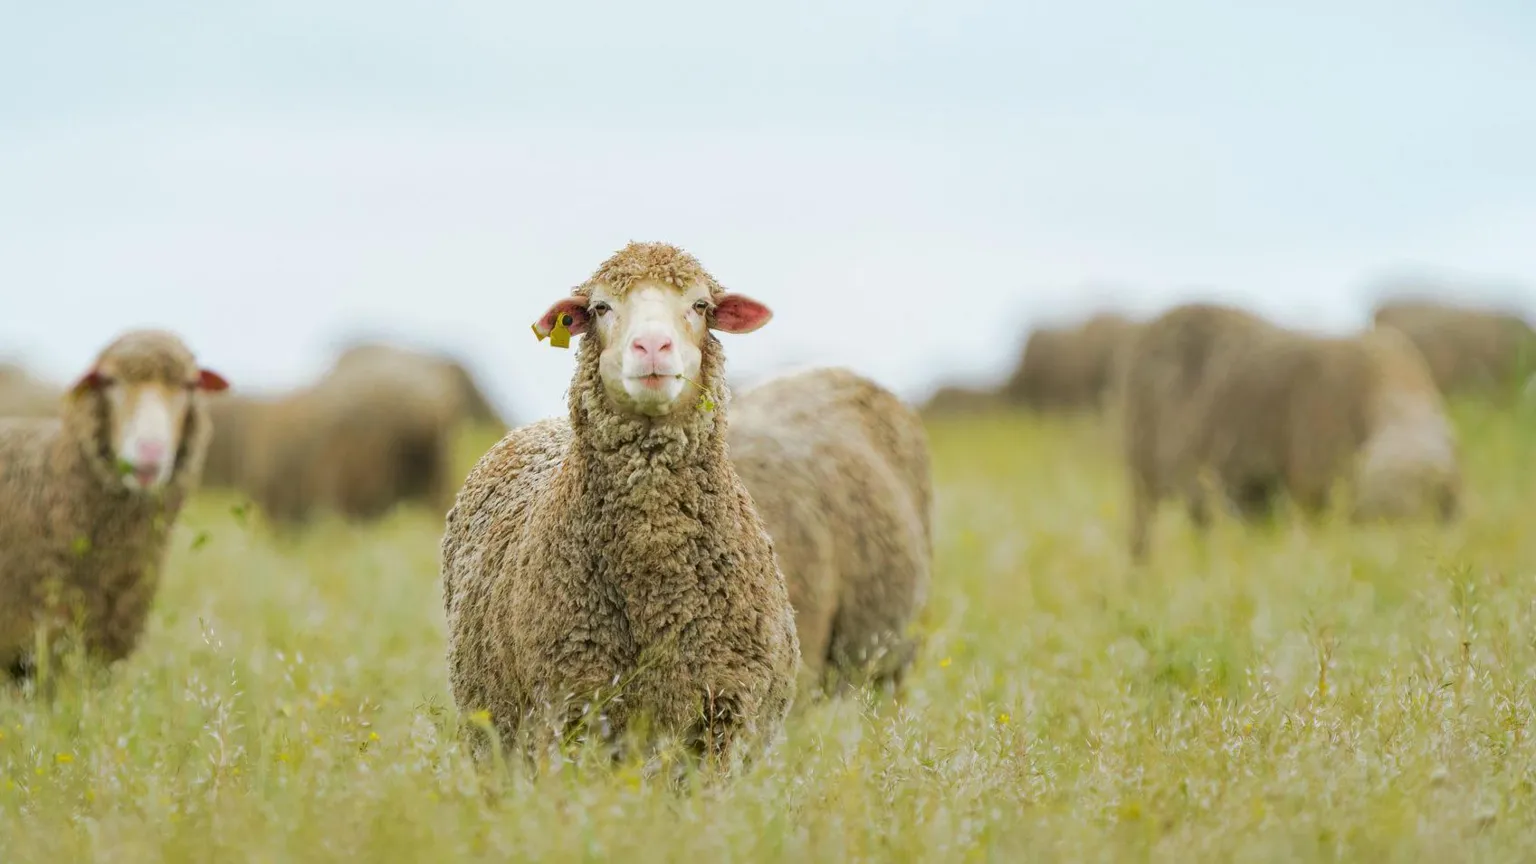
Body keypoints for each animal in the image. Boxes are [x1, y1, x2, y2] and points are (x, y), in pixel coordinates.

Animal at [440, 241, 800, 772]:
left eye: (700, 305)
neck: (653, 574)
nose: (651, 347)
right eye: (600, 308)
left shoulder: (723, 714)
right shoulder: (570, 706)